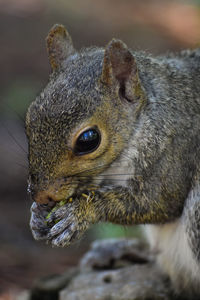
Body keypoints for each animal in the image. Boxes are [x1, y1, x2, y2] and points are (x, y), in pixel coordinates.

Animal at [26, 24, 200, 298]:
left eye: (88, 140)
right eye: (29, 119)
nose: (40, 195)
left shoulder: (177, 152)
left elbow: (160, 202)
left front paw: (79, 214)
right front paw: (36, 215)